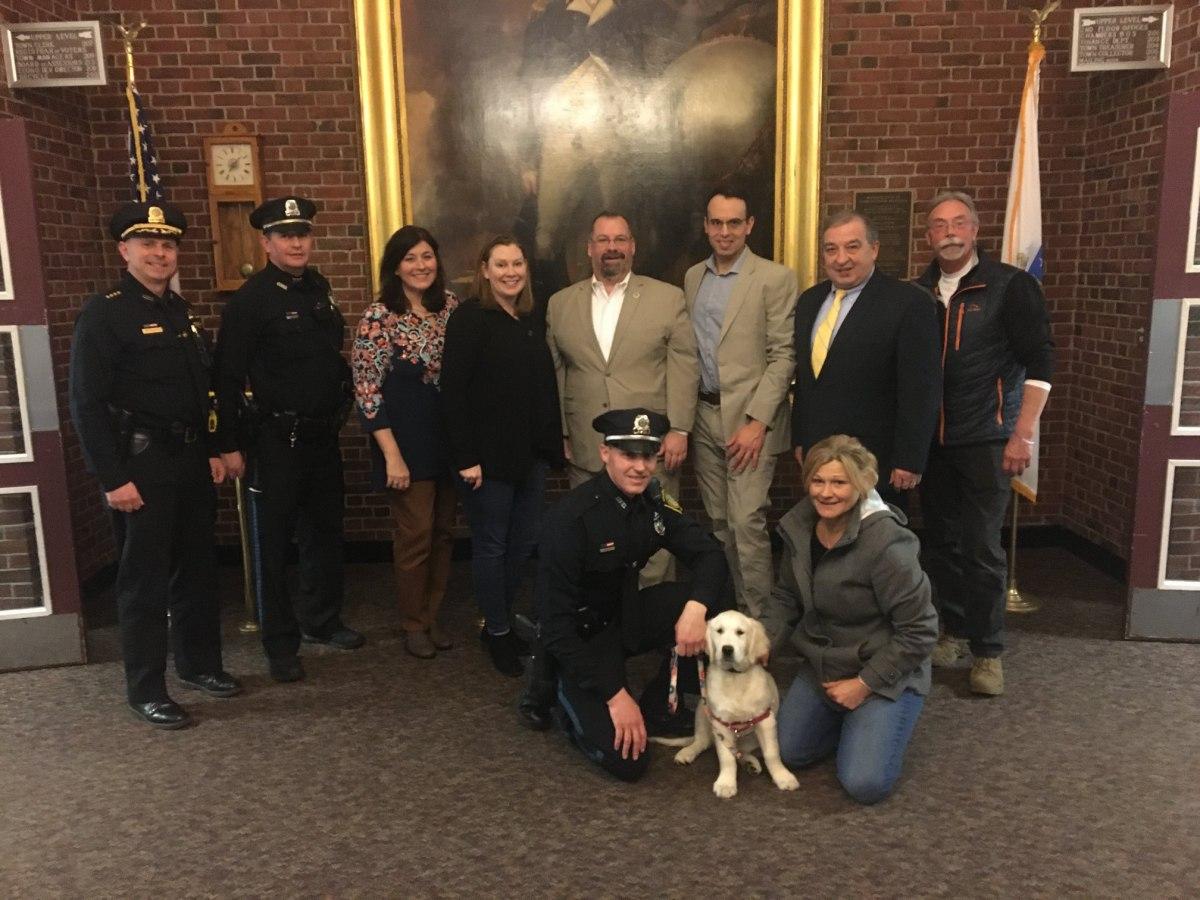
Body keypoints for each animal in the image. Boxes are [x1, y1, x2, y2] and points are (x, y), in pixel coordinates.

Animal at [676, 614, 796, 796]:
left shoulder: (765, 720)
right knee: (702, 741)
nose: (727, 649)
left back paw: (751, 763)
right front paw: (726, 783)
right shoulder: (720, 724)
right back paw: (687, 752)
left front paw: (783, 776)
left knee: (741, 751)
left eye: (740, 632)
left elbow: (772, 754)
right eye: (719, 631)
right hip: (702, 711)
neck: (734, 677)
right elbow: (727, 758)